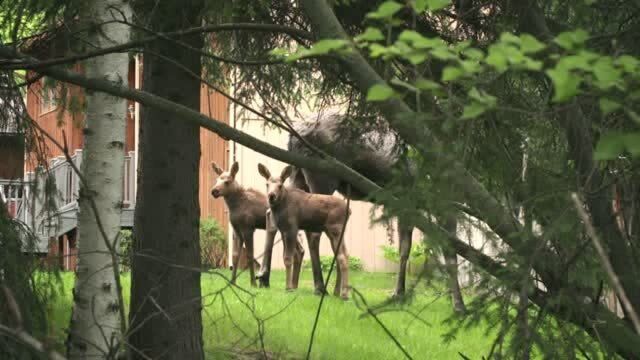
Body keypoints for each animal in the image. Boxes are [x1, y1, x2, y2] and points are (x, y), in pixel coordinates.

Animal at [258, 163, 352, 298]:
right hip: (332, 232)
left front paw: (289, 288)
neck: (280, 208)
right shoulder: (283, 230)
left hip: (336, 229)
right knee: (342, 255)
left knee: (342, 256)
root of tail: (349, 211)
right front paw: (290, 287)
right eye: (267, 184)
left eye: (280, 185)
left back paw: (344, 294)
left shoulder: (292, 228)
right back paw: (337, 292)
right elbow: (285, 257)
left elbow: (288, 258)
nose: (271, 196)